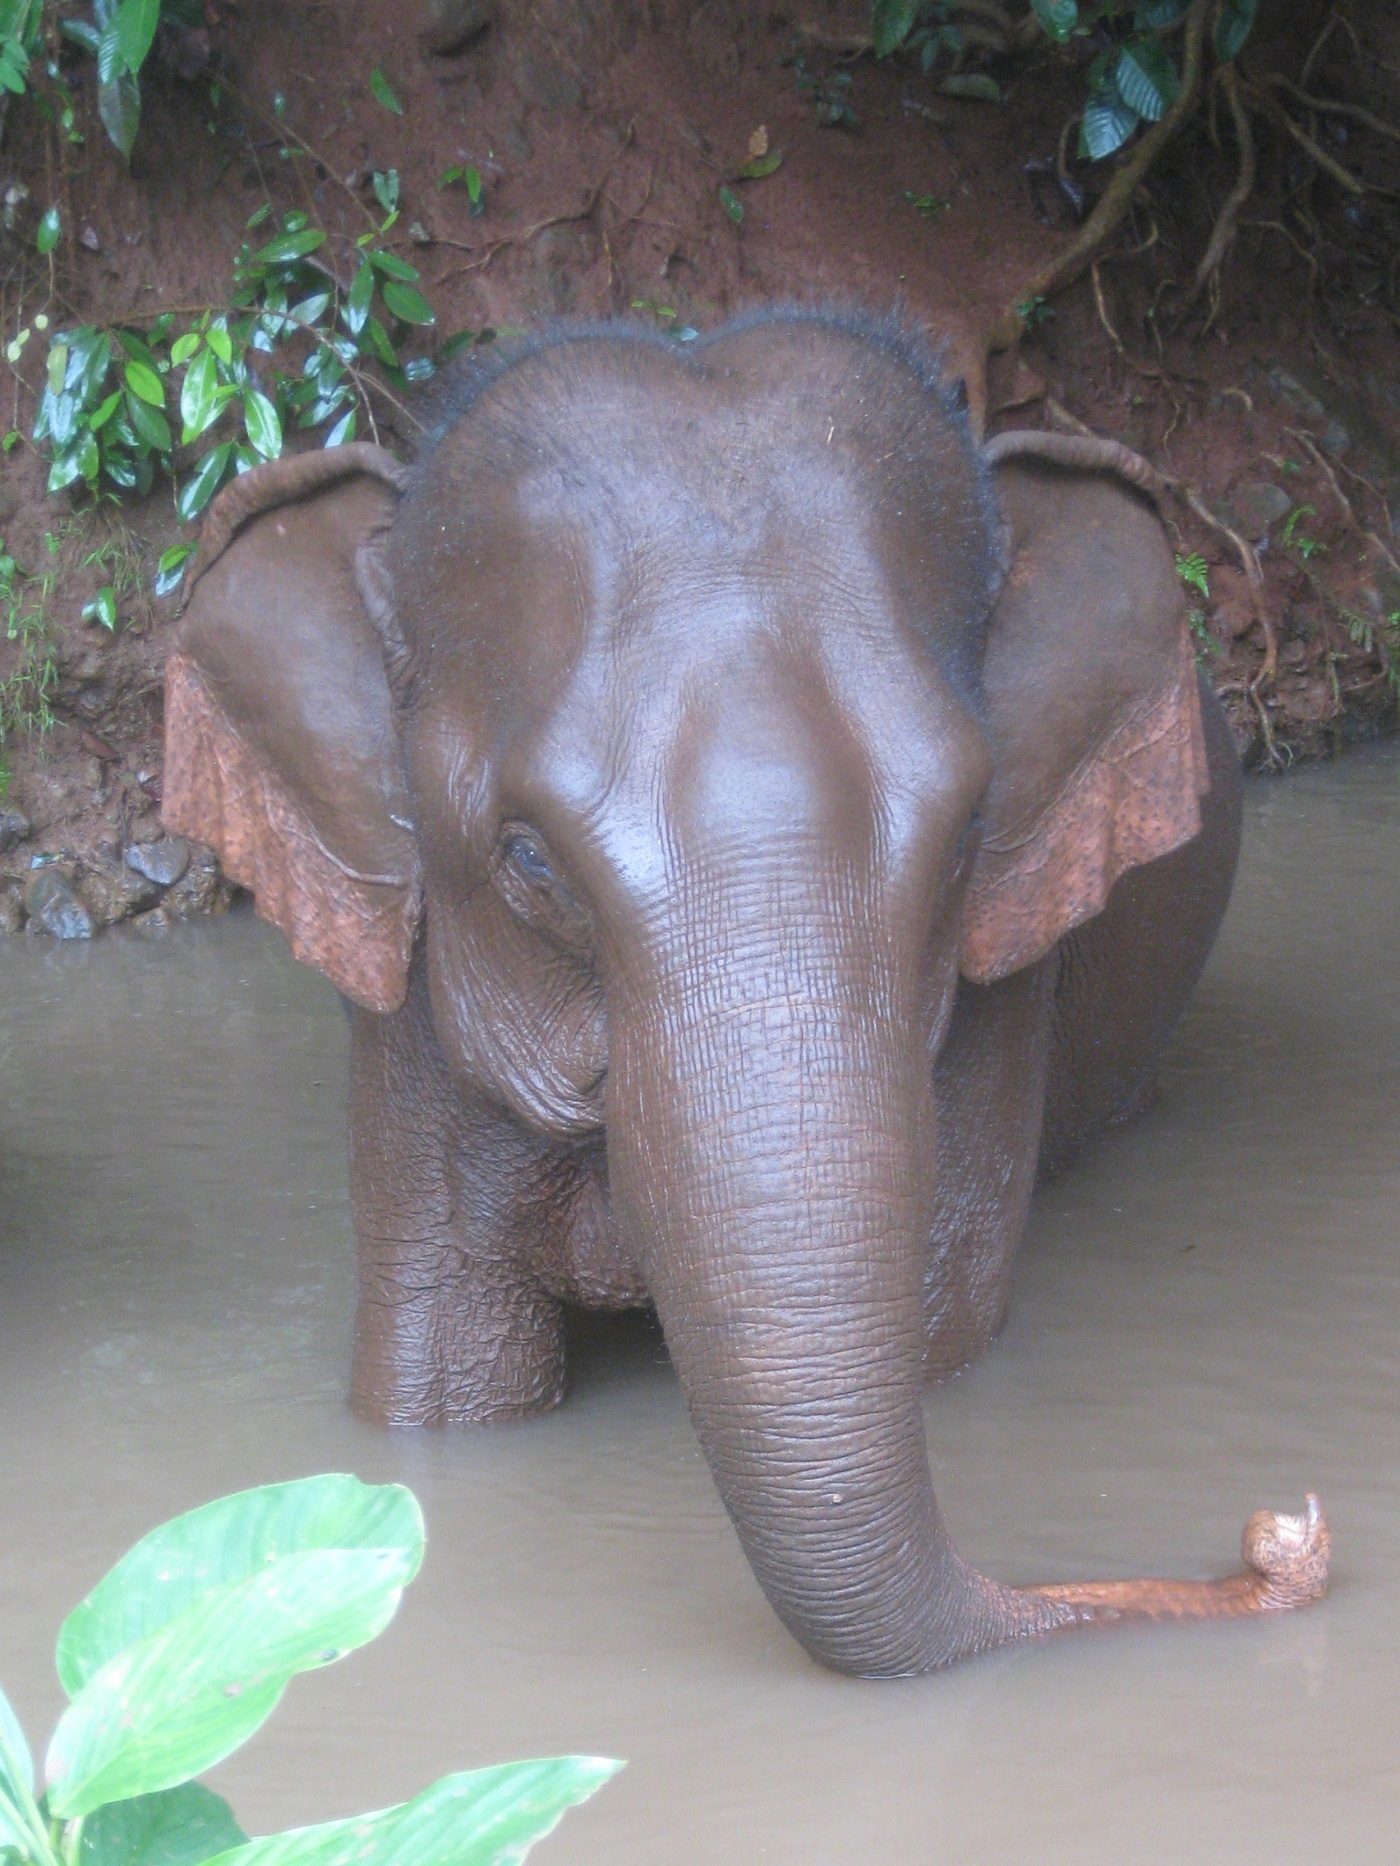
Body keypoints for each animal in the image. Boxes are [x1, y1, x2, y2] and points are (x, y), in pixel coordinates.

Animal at [162, 309, 1328, 1678]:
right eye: (528, 857)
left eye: (966, 831)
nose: (1279, 1533)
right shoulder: (402, 1019)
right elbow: (439, 1367)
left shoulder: (1006, 988)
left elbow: (943, 1330)